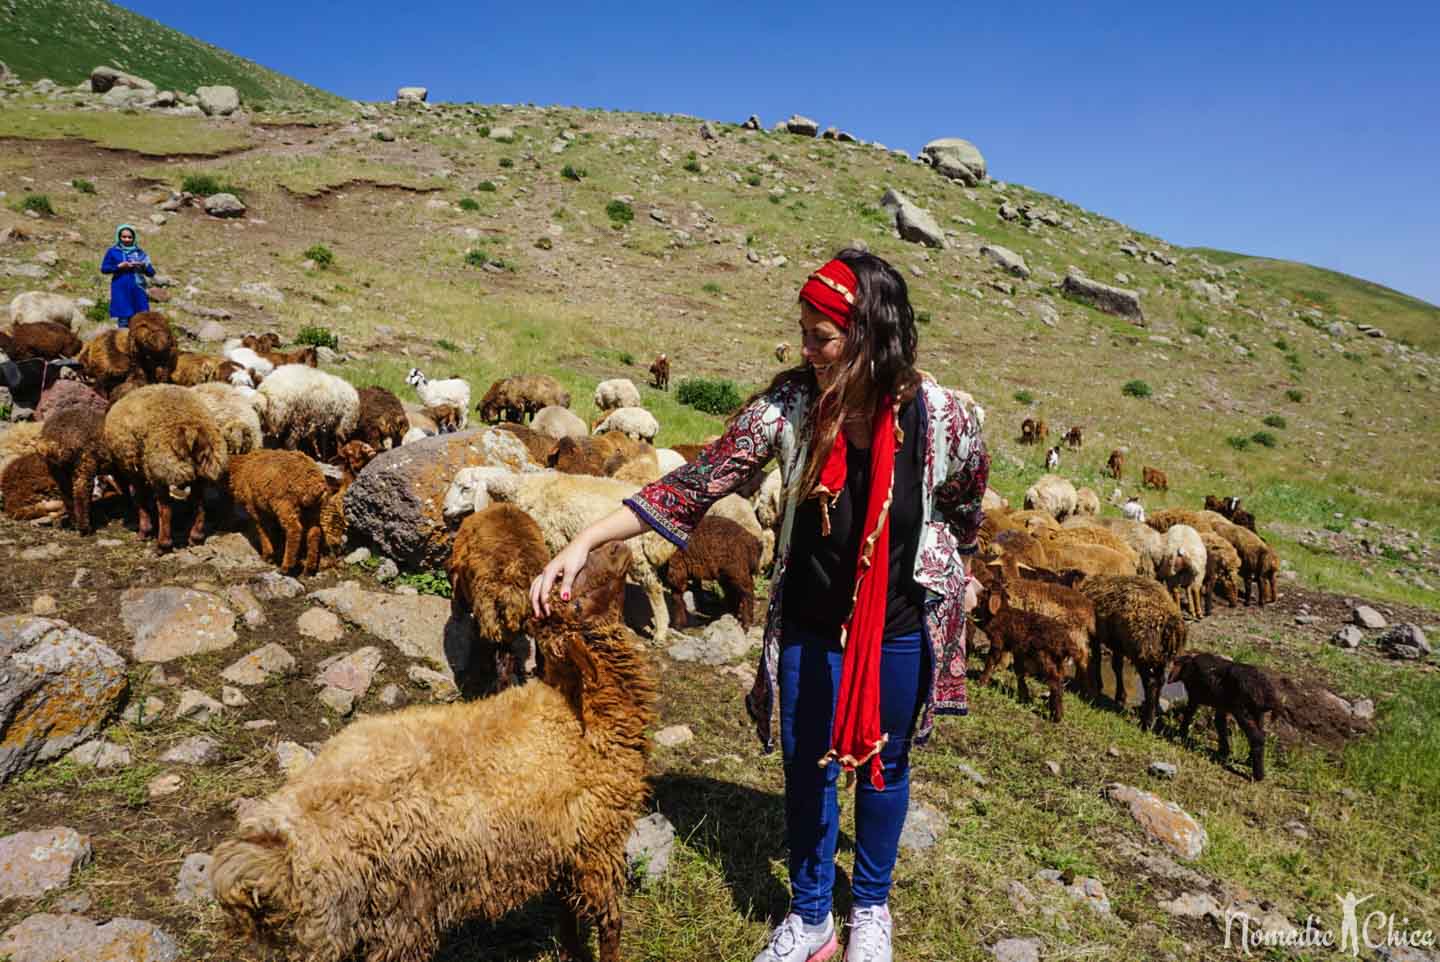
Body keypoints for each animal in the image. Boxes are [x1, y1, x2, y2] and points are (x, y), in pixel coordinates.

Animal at [102, 380, 226, 547]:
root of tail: (190, 430)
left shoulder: (133, 469)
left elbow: (140, 499)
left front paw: (144, 531)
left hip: (161, 469)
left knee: (165, 509)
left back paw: (163, 544)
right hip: (202, 470)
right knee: (199, 505)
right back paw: (195, 537)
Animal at [210, 541, 656, 962]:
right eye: (573, 598)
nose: (616, 546)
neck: (574, 710)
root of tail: (282, 846)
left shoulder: (565, 850)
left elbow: (566, 917)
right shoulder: (598, 843)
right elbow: (609, 921)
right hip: (397, 914)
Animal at [1077, 570, 1186, 728]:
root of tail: (1169, 622)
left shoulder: (1096, 635)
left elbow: (1098, 660)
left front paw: (1100, 686)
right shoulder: (1118, 642)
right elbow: (1117, 666)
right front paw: (1120, 696)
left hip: (1142, 651)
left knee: (1150, 682)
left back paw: (1147, 721)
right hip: (1161, 656)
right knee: (1160, 680)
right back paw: (1154, 712)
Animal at [1169, 653, 1284, 783]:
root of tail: (1268, 695)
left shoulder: (1194, 696)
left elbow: (1189, 714)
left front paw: (1180, 735)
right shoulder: (1221, 706)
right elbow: (1219, 723)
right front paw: (1223, 752)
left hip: (1242, 710)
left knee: (1257, 737)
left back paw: (1258, 776)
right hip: (1257, 713)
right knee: (1261, 734)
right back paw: (1248, 761)